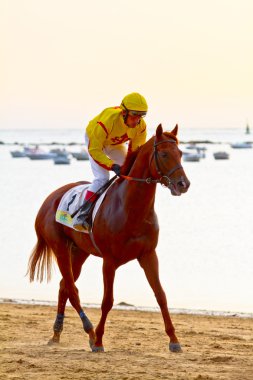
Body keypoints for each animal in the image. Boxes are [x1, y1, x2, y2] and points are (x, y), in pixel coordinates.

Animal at [27, 124, 190, 354]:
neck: (131, 209)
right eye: (165, 154)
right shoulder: (109, 261)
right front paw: (99, 341)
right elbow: (107, 300)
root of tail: (49, 199)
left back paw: (57, 334)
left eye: (181, 153)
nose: (183, 184)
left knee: (64, 286)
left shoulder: (148, 255)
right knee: (72, 290)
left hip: (79, 252)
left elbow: (161, 295)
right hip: (60, 248)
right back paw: (90, 332)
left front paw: (174, 340)